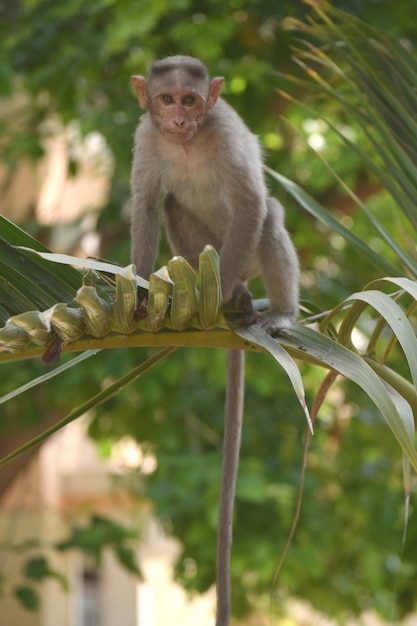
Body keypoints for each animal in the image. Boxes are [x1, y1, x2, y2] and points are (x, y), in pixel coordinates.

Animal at [128, 54, 298, 624]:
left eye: (192, 100)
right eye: (166, 100)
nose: (180, 119)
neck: (186, 143)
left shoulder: (223, 131)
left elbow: (249, 203)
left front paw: (217, 294)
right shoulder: (146, 137)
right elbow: (147, 207)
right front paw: (137, 294)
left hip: (245, 255)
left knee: (268, 215)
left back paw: (257, 304)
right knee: (174, 206)